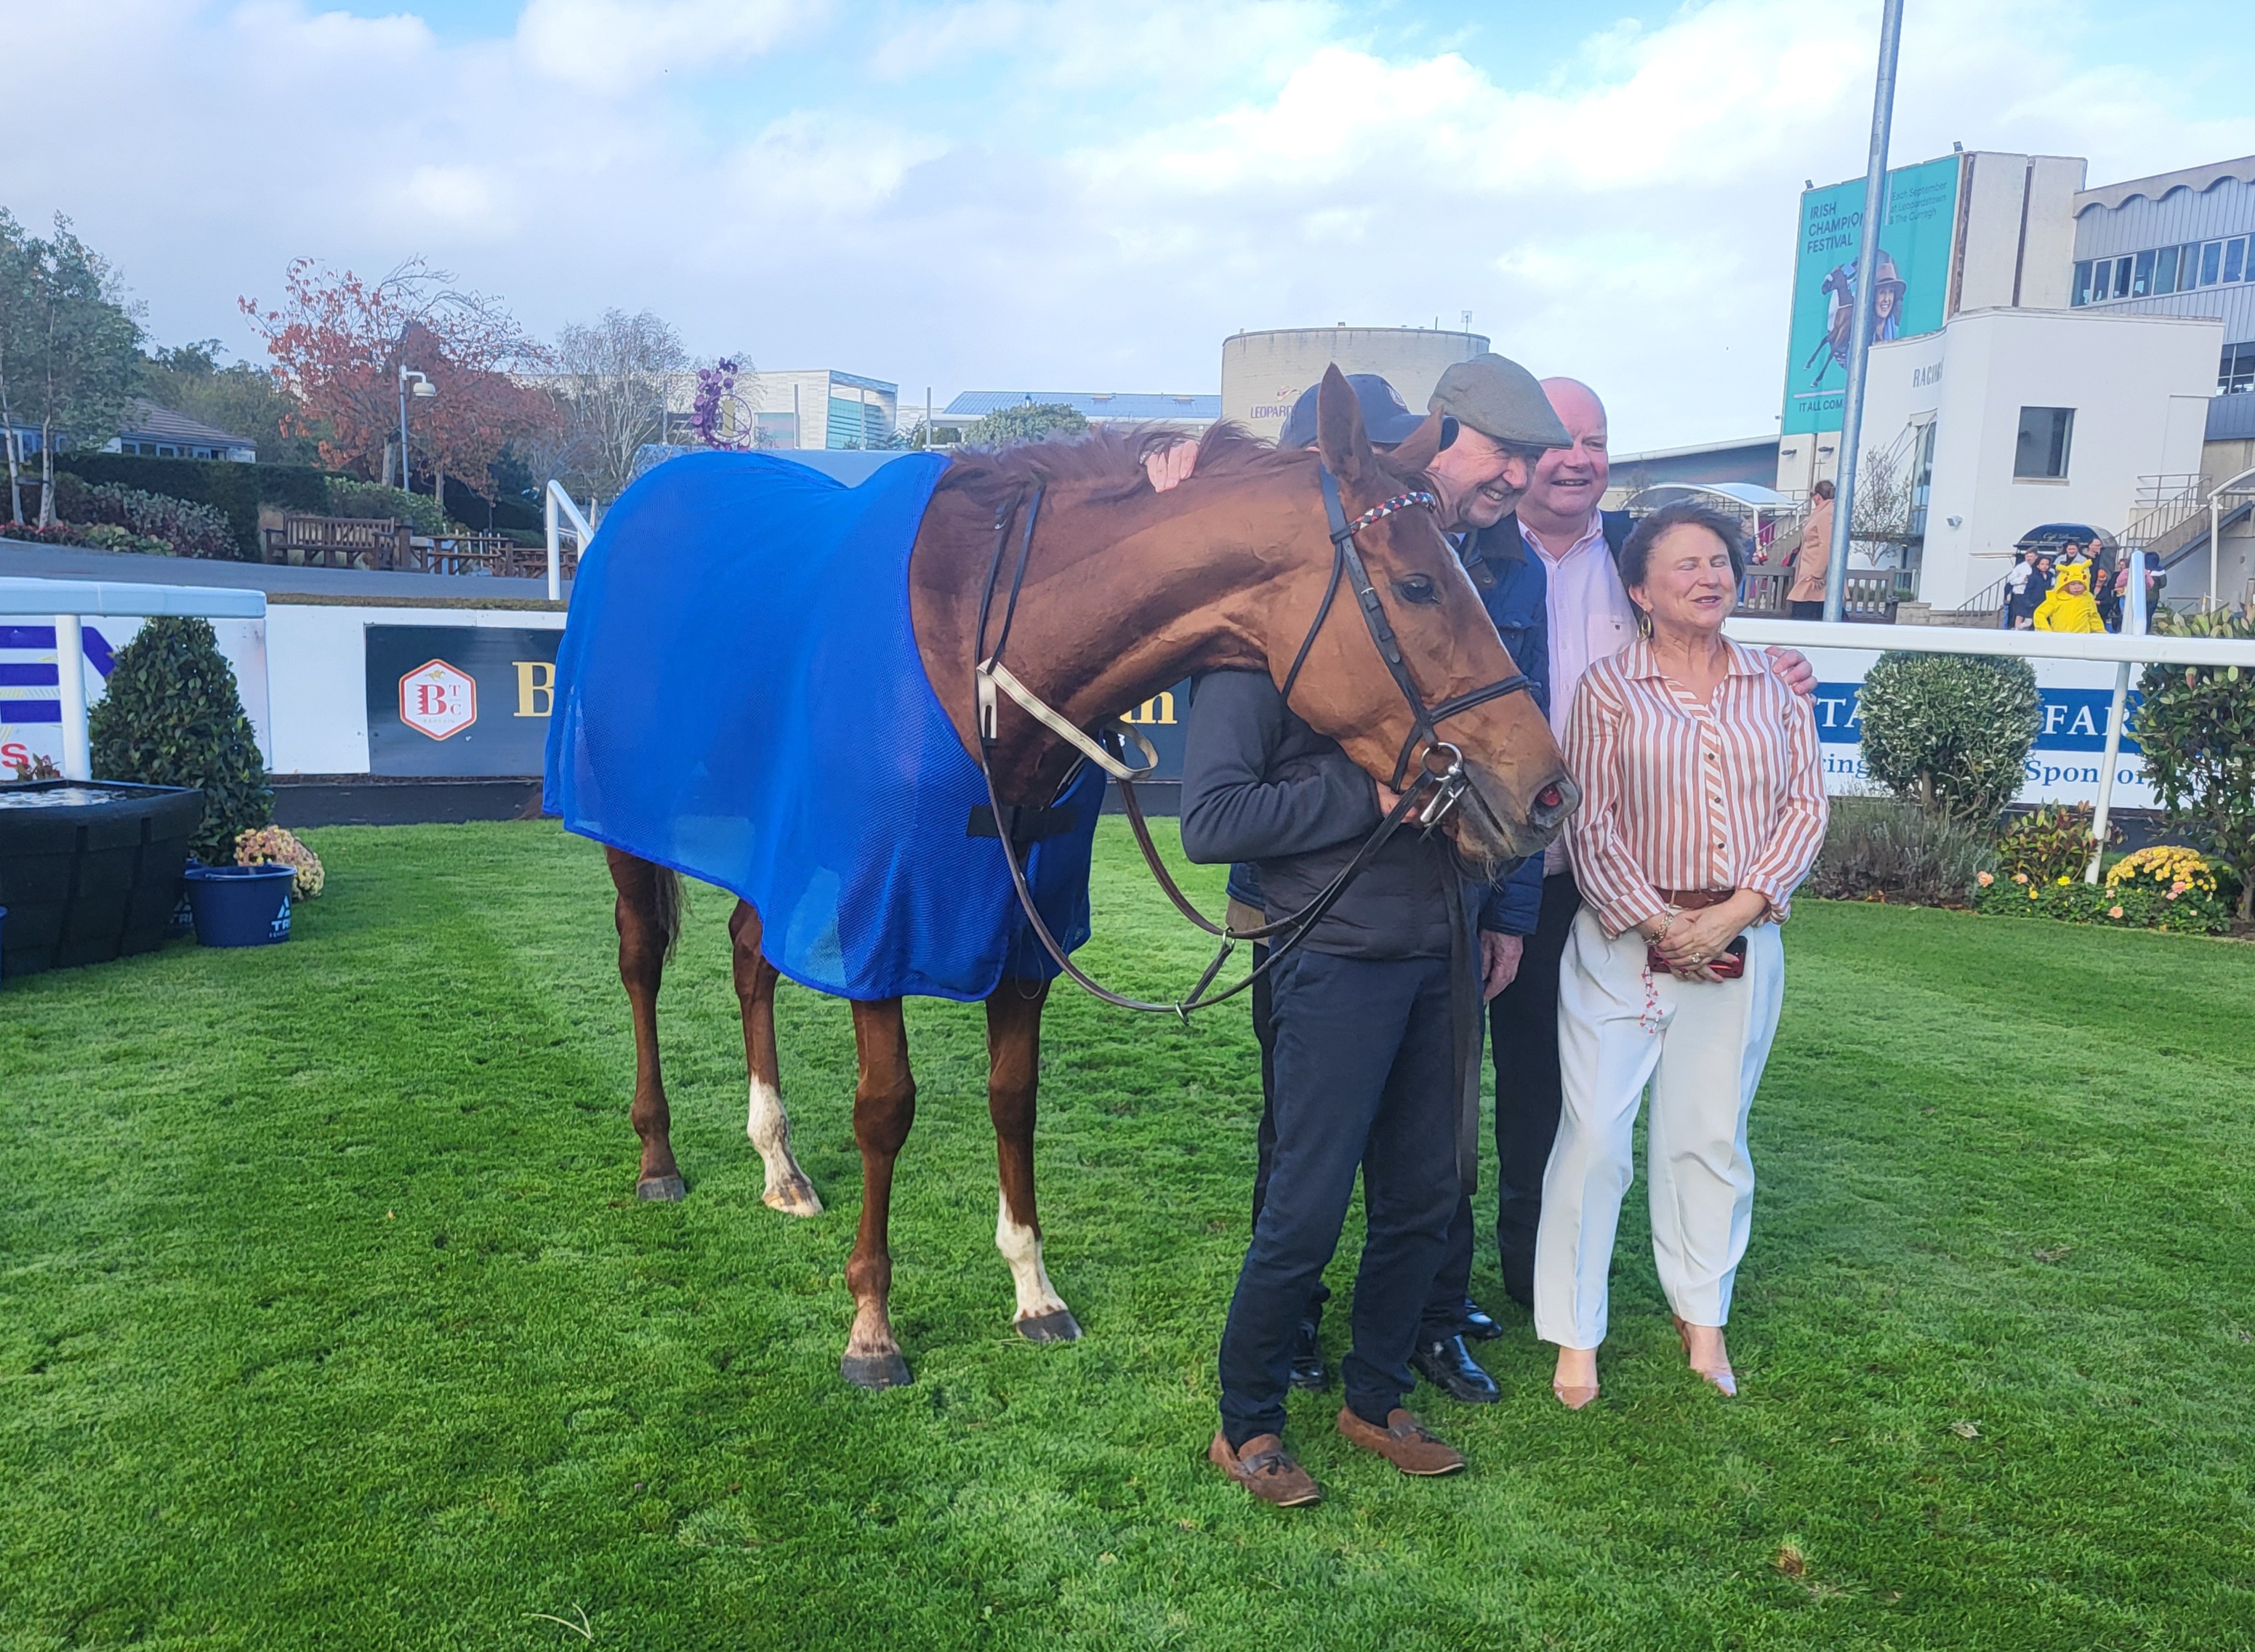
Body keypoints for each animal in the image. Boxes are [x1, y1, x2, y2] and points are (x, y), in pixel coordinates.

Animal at [608, 367, 1578, 1388]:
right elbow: (885, 1107)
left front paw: (1033, 1289)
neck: (979, 650)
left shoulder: (1025, 930)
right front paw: (872, 1321)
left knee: (748, 956)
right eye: (1419, 585)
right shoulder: (879, 917)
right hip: (633, 830)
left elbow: (1013, 1095)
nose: (1547, 792)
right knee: (642, 962)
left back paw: (778, 1164)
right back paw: (658, 1154)